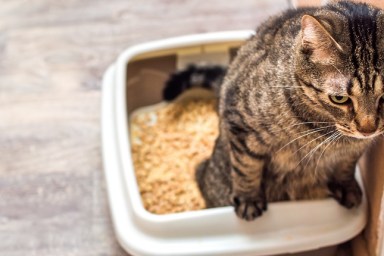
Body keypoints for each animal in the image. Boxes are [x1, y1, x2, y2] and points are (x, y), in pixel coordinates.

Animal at [162, 1, 384, 221]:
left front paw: (346, 187)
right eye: (339, 98)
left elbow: (346, 165)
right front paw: (249, 200)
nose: (368, 129)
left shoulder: (355, 150)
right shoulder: (241, 123)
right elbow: (246, 167)